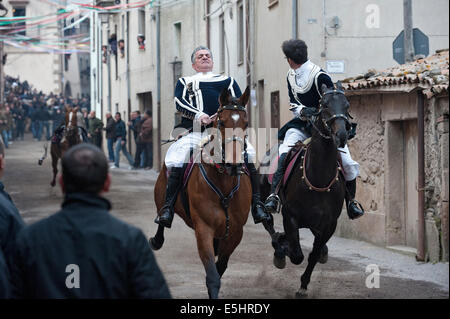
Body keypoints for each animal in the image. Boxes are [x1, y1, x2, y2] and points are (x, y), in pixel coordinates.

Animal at [151, 87, 253, 300]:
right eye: (221, 122)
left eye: (246, 123)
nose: (234, 164)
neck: (224, 183)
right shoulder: (204, 229)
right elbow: (213, 275)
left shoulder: (236, 232)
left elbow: (220, 267)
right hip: (161, 199)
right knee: (162, 217)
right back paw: (157, 237)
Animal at [260, 83, 352, 300]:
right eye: (324, 105)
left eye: (347, 105)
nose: (341, 136)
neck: (318, 175)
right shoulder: (290, 217)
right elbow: (296, 254)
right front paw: (283, 249)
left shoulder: (329, 224)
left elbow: (314, 254)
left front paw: (303, 285)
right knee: (269, 225)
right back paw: (279, 246)